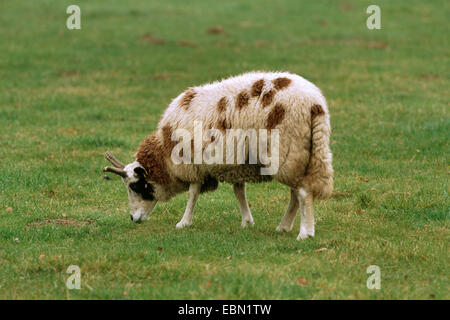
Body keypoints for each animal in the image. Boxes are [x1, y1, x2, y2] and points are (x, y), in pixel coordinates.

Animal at [103, 70, 332, 240]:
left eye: (135, 186)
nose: (133, 218)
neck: (164, 150)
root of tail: (314, 104)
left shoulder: (193, 163)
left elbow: (193, 193)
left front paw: (184, 222)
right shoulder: (235, 163)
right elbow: (239, 191)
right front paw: (247, 221)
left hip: (287, 149)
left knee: (302, 192)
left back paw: (305, 232)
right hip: (303, 153)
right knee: (296, 193)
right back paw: (284, 226)